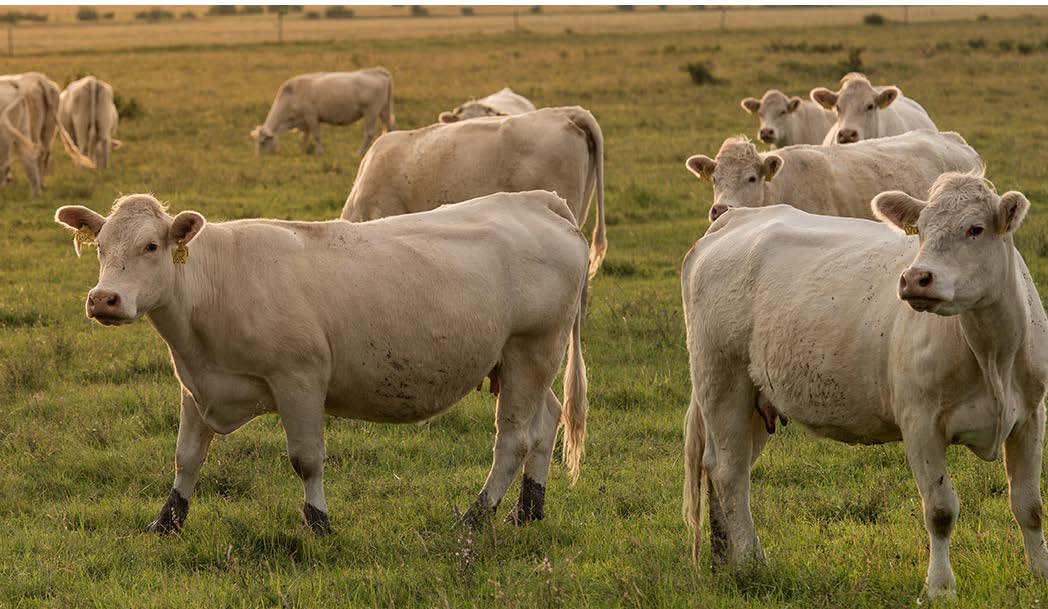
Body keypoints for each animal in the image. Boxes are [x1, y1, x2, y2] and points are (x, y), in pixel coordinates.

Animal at [54, 190, 589, 535]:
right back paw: (527, 510)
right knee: (546, 422)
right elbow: (186, 458)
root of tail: (536, 201)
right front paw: (166, 521)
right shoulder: (197, 385)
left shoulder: (299, 380)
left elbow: (306, 460)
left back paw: (474, 517)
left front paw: (319, 524)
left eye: (151, 245)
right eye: (101, 248)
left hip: (531, 349)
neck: (215, 285)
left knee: (514, 440)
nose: (104, 299)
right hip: (521, 362)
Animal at [251, 69, 395, 157]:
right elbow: (304, 137)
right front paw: (303, 151)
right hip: (384, 110)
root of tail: (377, 71)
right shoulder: (304, 122)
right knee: (389, 128)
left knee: (369, 133)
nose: (259, 158)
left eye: (262, 142)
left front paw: (320, 152)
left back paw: (359, 152)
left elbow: (316, 136)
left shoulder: (311, 117)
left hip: (371, 111)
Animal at [682, 172, 1048, 598]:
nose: (916, 278)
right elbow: (940, 510)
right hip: (722, 382)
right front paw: (939, 587)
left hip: (755, 401)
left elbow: (1029, 504)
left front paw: (1039, 573)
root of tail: (734, 219)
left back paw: (732, 559)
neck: (992, 354)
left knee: (723, 469)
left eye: (975, 229)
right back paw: (748, 565)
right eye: (921, 230)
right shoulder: (920, 423)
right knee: (729, 472)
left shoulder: (1030, 417)